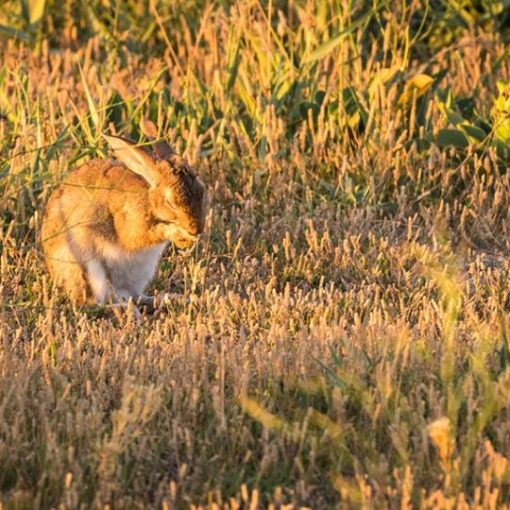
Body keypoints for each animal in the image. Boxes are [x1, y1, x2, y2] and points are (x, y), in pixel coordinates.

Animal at [40, 120, 206, 308]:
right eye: (171, 202)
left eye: (202, 191)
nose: (197, 229)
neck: (150, 202)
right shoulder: (131, 223)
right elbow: (140, 236)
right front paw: (178, 233)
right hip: (89, 269)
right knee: (95, 303)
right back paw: (129, 310)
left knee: (136, 296)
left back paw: (175, 299)